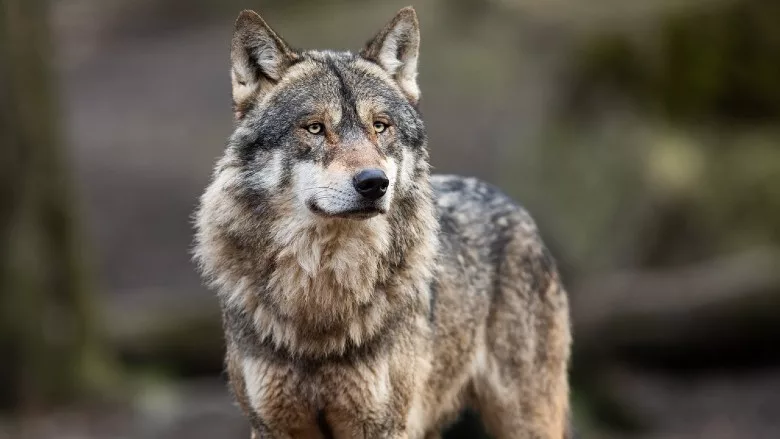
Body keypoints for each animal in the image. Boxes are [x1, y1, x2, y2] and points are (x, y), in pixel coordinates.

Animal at [193, 6, 572, 439]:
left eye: (380, 126)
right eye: (315, 127)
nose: (374, 183)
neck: (321, 296)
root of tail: (509, 201)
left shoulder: (383, 424)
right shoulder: (272, 426)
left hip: (523, 418)